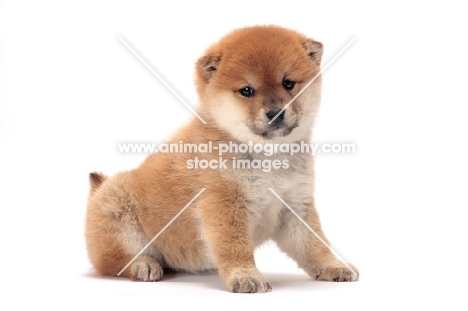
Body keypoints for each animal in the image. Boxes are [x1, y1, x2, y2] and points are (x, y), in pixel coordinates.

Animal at [85, 25, 358, 294]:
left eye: (288, 83)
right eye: (247, 90)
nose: (275, 112)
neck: (267, 157)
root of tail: (99, 187)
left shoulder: (294, 204)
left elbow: (314, 243)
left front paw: (334, 265)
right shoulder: (224, 203)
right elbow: (234, 247)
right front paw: (246, 276)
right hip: (118, 211)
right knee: (114, 262)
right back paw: (144, 265)